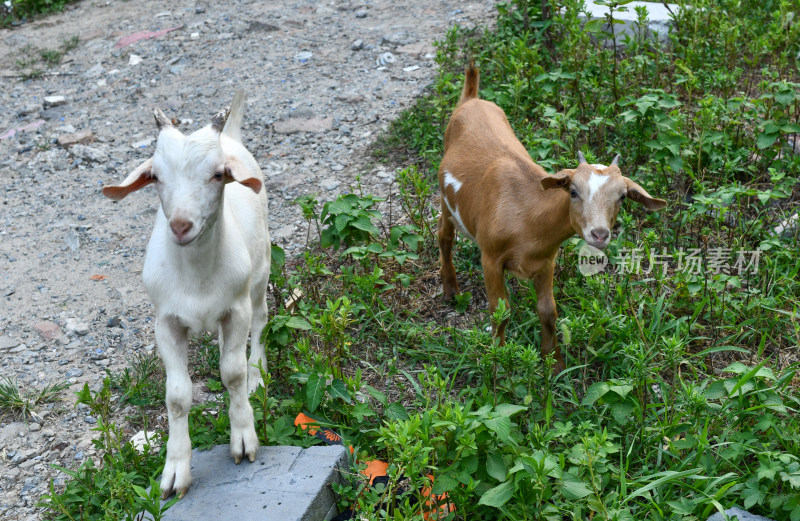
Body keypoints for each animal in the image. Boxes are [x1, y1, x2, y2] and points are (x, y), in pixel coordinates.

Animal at [103, 91, 270, 498]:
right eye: (155, 177)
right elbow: (177, 395)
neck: (197, 277)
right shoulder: (166, 323)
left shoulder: (236, 309)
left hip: (261, 272)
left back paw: (258, 374)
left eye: (217, 174)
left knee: (261, 320)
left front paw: (244, 438)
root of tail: (232, 137)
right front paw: (175, 471)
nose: (180, 225)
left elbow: (233, 373)